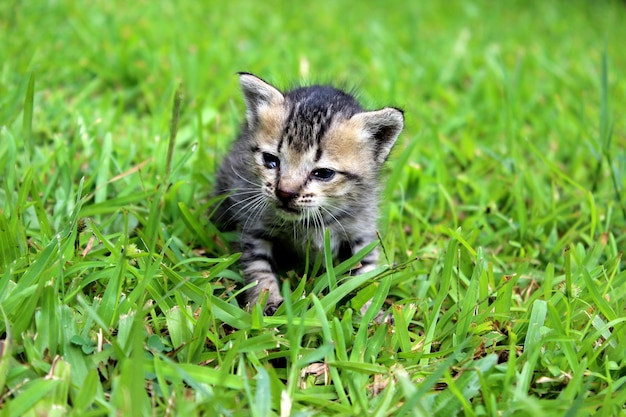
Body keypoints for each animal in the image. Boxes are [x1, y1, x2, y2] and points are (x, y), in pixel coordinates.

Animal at [212, 73, 402, 316]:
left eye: (323, 173)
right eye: (271, 160)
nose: (284, 192)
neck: (310, 222)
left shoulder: (363, 230)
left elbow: (365, 274)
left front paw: (368, 311)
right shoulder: (255, 228)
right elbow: (259, 268)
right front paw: (267, 303)